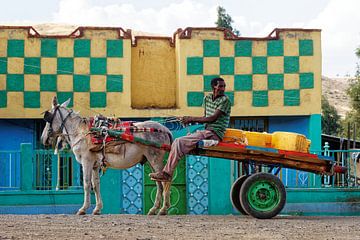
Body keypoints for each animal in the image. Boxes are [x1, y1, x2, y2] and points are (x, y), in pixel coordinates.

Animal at [40, 96, 173, 215]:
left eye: (47, 118)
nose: (43, 139)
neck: (81, 131)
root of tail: (165, 130)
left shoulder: (86, 161)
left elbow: (86, 184)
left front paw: (83, 209)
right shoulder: (95, 165)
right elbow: (95, 185)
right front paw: (97, 209)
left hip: (155, 159)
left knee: (165, 181)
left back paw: (163, 209)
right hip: (150, 161)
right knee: (159, 182)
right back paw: (154, 209)